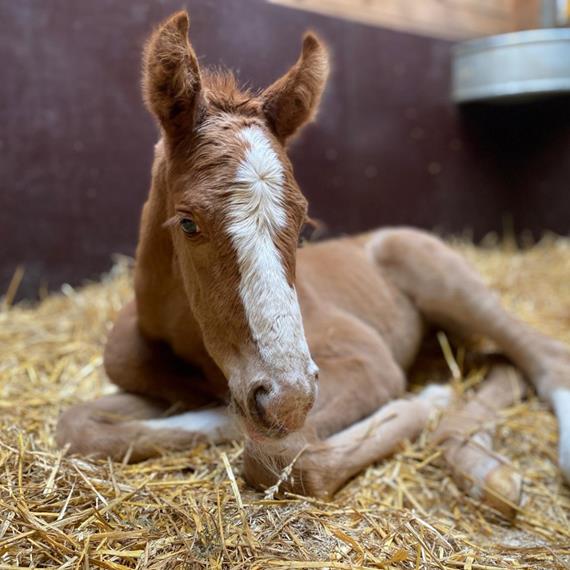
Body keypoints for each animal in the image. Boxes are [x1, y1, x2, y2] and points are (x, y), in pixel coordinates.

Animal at [57, 10, 568, 516]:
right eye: (187, 223)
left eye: (304, 220)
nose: (288, 398)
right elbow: (77, 425)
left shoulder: (366, 360)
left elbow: (277, 453)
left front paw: (427, 399)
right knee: (503, 363)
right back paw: (482, 466)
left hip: (449, 285)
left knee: (543, 355)